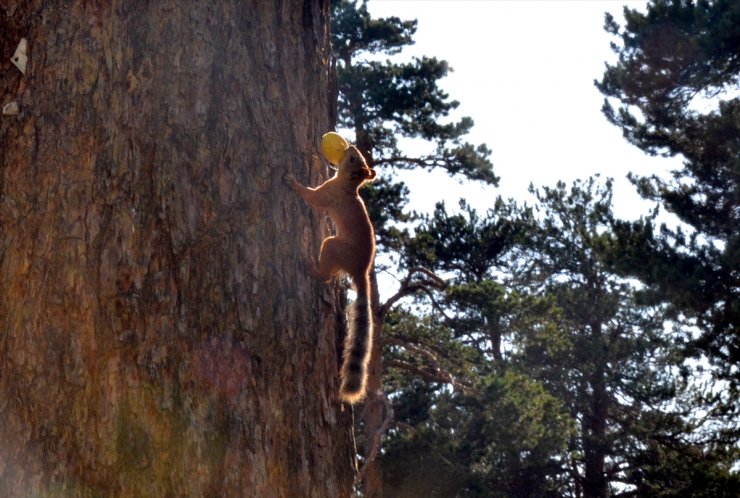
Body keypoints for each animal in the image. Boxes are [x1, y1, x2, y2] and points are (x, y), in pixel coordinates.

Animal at [284, 133, 376, 404]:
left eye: (354, 159)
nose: (351, 146)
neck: (348, 186)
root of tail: (361, 271)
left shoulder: (328, 193)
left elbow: (313, 197)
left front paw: (294, 183)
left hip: (333, 247)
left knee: (326, 274)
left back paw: (313, 270)